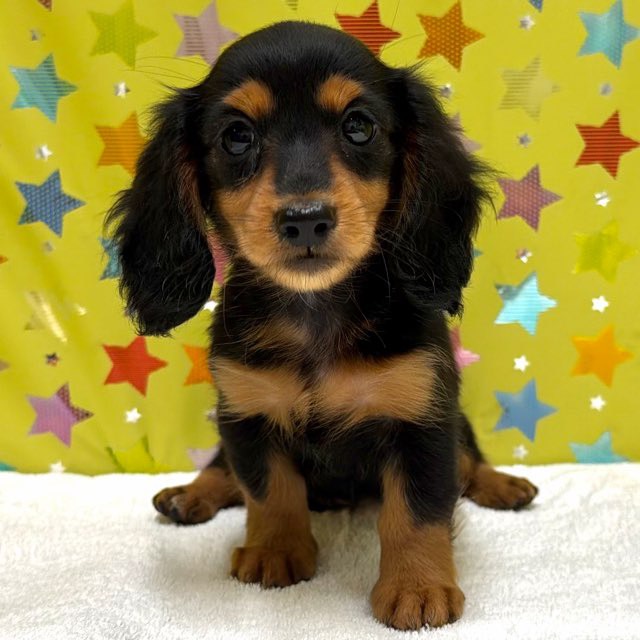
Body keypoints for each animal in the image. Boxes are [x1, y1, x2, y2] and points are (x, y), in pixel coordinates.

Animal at [107, 21, 538, 631]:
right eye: (236, 136)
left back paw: (502, 485)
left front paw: (417, 587)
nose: (305, 220)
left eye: (359, 126)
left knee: (470, 459)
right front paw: (274, 551)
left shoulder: (424, 416)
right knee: (222, 468)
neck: (315, 313)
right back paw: (191, 494)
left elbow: (418, 510)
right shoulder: (247, 413)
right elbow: (269, 491)